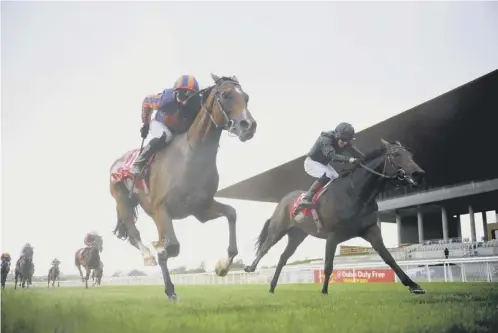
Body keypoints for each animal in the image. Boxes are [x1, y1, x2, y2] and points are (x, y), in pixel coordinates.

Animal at [109, 74, 256, 300]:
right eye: (226, 95)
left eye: (246, 97)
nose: (248, 125)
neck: (191, 157)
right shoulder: (161, 210)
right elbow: (171, 247)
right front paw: (169, 286)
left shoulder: (201, 209)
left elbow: (231, 213)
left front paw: (223, 266)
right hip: (121, 199)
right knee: (133, 232)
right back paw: (147, 255)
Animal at [245, 139, 428, 294]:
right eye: (396, 154)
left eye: (410, 155)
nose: (419, 173)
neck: (355, 194)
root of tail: (283, 200)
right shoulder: (333, 235)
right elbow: (328, 265)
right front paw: (324, 291)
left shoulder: (371, 230)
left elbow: (390, 259)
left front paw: (413, 285)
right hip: (278, 230)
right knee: (265, 247)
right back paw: (250, 268)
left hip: (297, 235)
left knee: (283, 258)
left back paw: (272, 287)